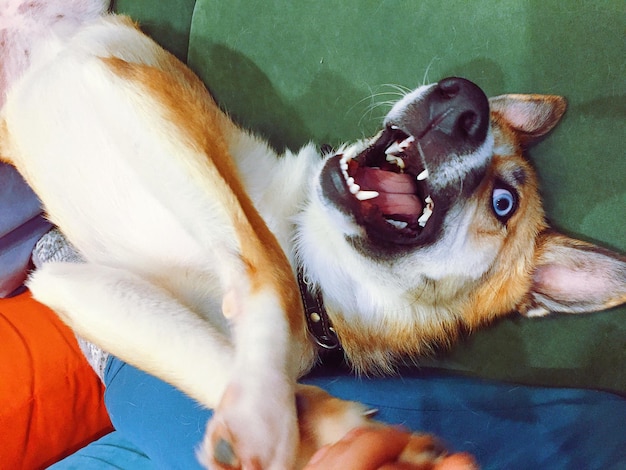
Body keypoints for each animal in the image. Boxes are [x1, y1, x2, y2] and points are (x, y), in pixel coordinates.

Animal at [1, 1, 624, 468]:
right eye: (486, 120)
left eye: (503, 203)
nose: (462, 101)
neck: (310, 261)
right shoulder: (128, 89)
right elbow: (266, 268)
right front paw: (271, 412)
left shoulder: (79, 285)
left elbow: (227, 362)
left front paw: (297, 425)